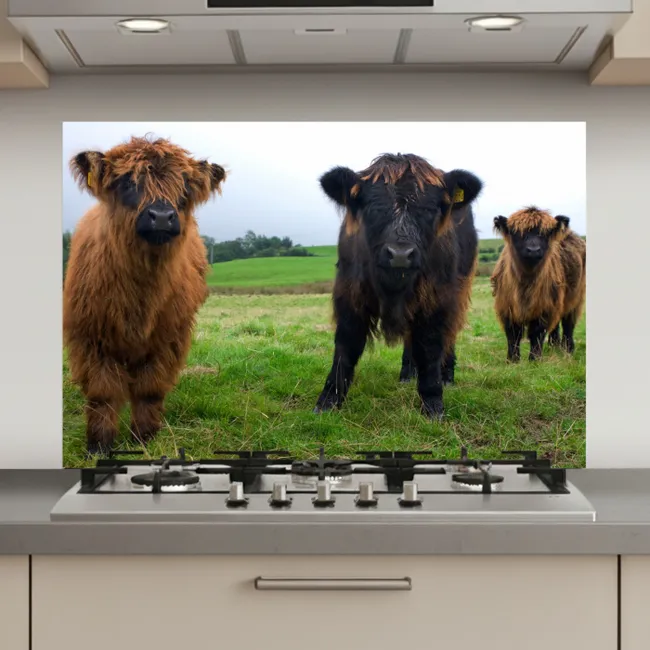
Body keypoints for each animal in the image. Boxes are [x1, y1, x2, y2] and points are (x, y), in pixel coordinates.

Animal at [63, 135, 227, 456]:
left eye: (185, 185)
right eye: (127, 181)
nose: (161, 217)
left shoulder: (168, 339)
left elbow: (150, 389)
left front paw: (144, 437)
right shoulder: (90, 338)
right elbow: (102, 393)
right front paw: (99, 445)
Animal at [313, 153, 483, 421]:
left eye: (431, 208)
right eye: (372, 207)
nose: (401, 254)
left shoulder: (437, 299)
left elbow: (431, 347)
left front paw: (433, 404)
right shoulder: (349, 294)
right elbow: (346, 345)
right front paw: (328, 401)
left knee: (449, 334)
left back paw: (447, 376)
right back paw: (407, 373)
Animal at [490, 206, 586, 362]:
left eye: (545, 233)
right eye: (518, 233)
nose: (533, 250)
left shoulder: (544, 307)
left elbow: (537, 332)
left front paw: (535, 359)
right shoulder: (506, 306)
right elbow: (513, 334)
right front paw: (512, 359)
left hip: (575, 297)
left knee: (568, 323)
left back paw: (568, 349)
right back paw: (554, 346)